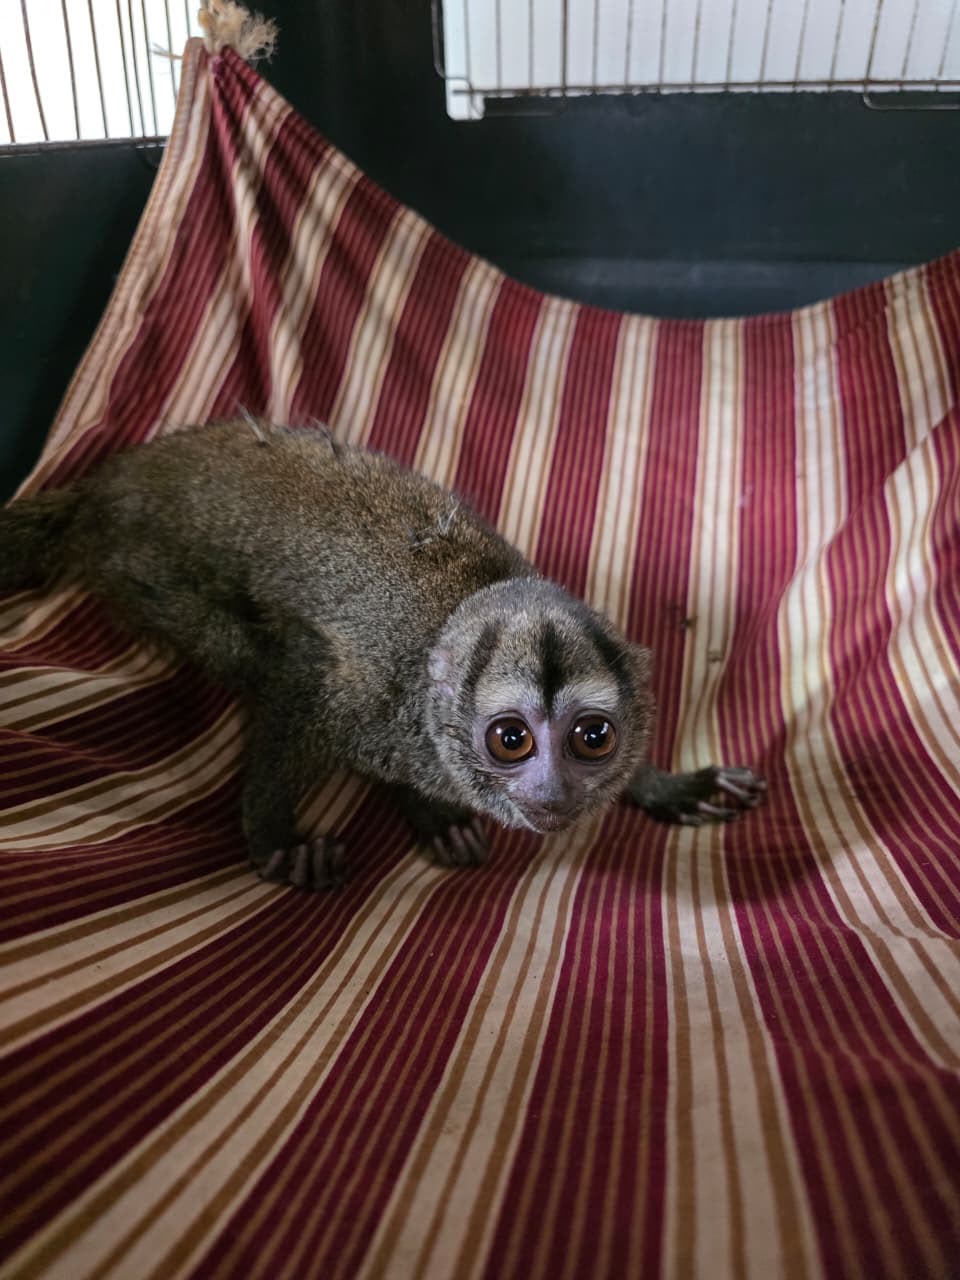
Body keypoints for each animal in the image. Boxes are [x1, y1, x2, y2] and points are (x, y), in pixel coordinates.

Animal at [0, 420, 766, 889]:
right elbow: (296, 676)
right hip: (140, 573)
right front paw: (276, 840)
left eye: (594, 737)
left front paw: (669, 787)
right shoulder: (361, 695)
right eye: (511, 739)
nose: (552, 795)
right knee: (249, 651)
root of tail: (104, 486)